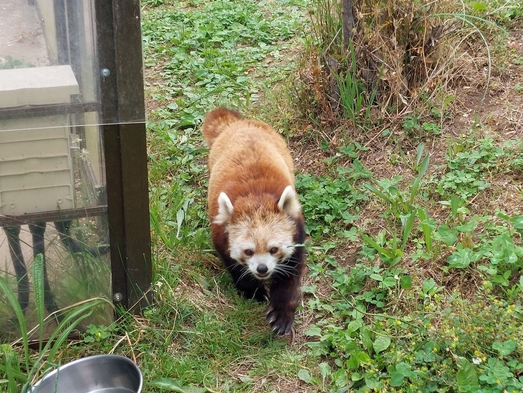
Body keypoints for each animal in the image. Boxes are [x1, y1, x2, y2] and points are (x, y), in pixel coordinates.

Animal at [202, 107, 308, 334]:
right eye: (248, 251)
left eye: (274, 249)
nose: (262, 269)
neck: (256, 200)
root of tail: (240, 124)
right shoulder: (221, 233)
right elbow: (234, 265)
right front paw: (253, 292)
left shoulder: (296, 230)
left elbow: (290, 275)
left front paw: (281, 315)